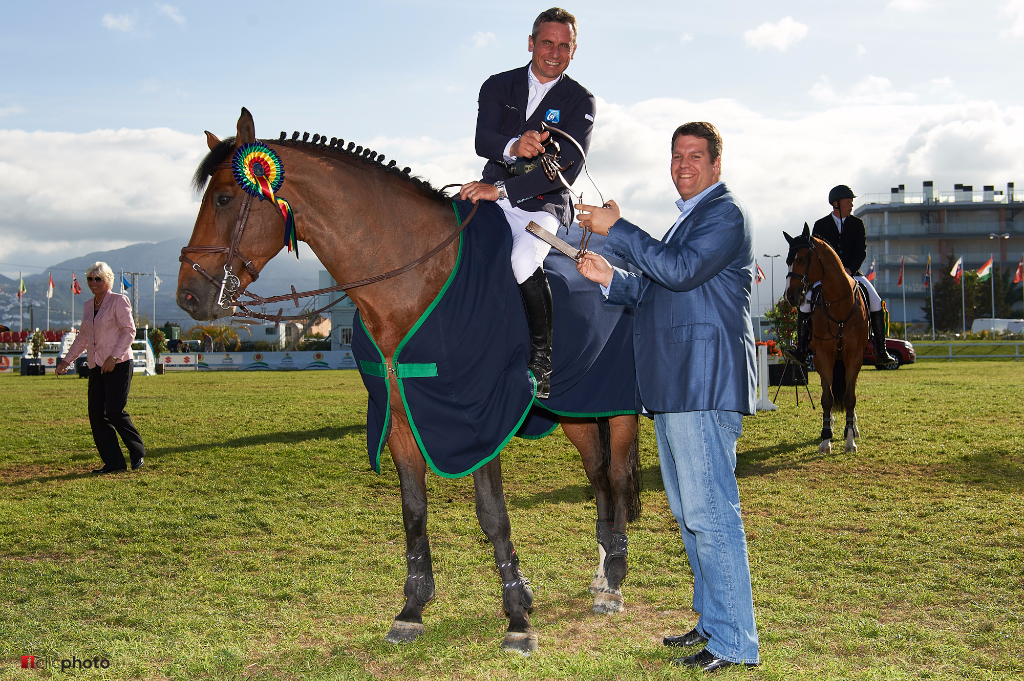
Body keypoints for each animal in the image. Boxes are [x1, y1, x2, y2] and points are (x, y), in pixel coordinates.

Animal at [177, 109, 638, 651]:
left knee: (615, 475)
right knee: (598, 477)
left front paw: (518, 615)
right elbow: (413, 510)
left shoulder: (476, 420)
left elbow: (492, 513)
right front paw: (413, 608)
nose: (188, 296)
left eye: (225, 198)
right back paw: (603, 574)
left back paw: (615, 578)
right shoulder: (399, 418)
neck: (413, 279)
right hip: (575, 411)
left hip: (619, 405)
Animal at [786, 223, 868, 454]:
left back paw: (852, 427)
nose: (791, 296)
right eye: (787, 261)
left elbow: (850, 398)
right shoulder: (823, 357)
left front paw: (850, 440)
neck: (839, 305)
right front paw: (825, 438)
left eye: (801, 259)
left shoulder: (854, 357)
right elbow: (827, 398)